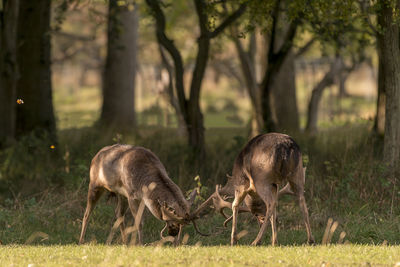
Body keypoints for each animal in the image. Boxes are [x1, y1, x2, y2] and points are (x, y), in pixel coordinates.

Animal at [79, 144, 209, 245]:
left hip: (121, 194)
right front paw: (141, 244)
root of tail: (96, 156)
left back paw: (125, 242)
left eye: (182, 226)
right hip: (95, 185)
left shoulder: (141, 198)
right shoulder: (131, 195)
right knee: (87, 213)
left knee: (118, 213)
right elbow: (139, 222)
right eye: (172, 222)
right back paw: (81, 241)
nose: (173, 233)